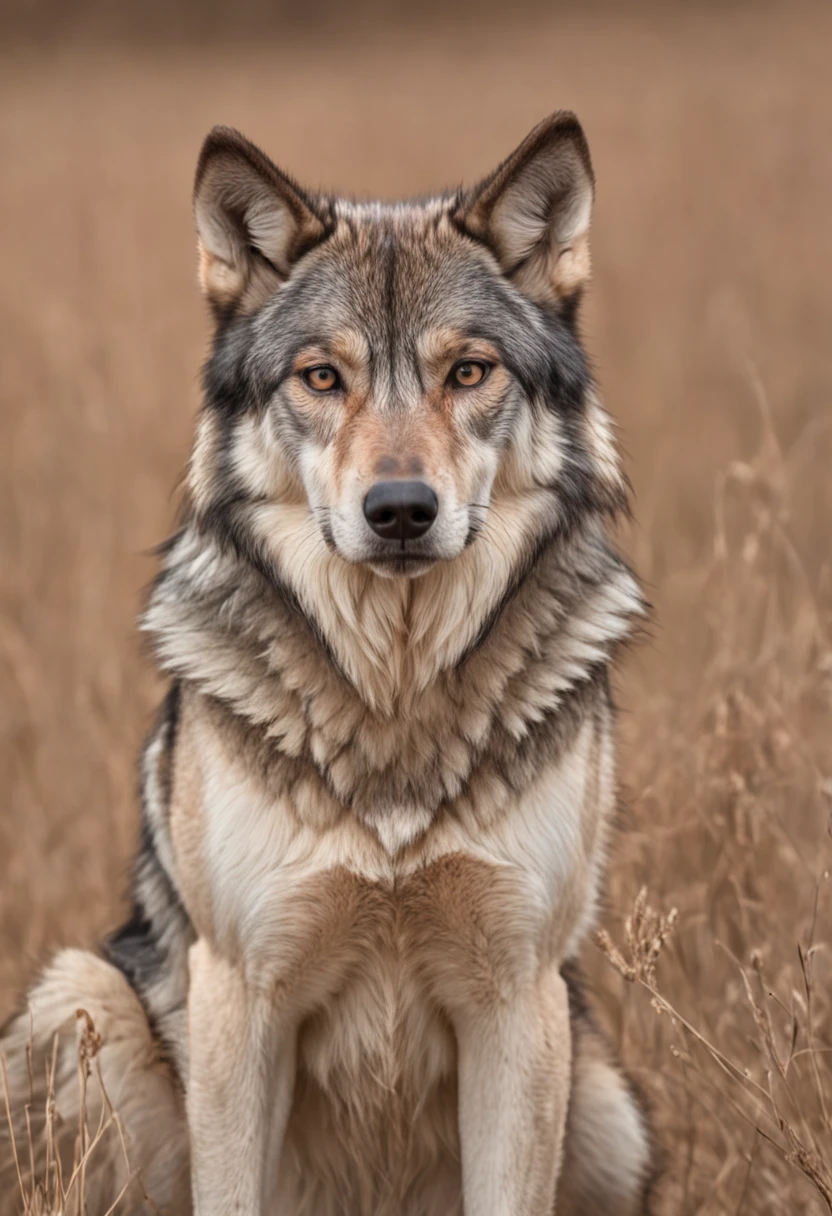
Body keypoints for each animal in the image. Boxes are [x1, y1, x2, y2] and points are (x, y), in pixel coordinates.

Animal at [0, 111, 651, 1206]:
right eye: (322, 377)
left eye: (467, 372)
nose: (400, 510)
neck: (393, 696)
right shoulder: (241, 994)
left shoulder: (516, 999)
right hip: (82, 997)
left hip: (606, 1105)